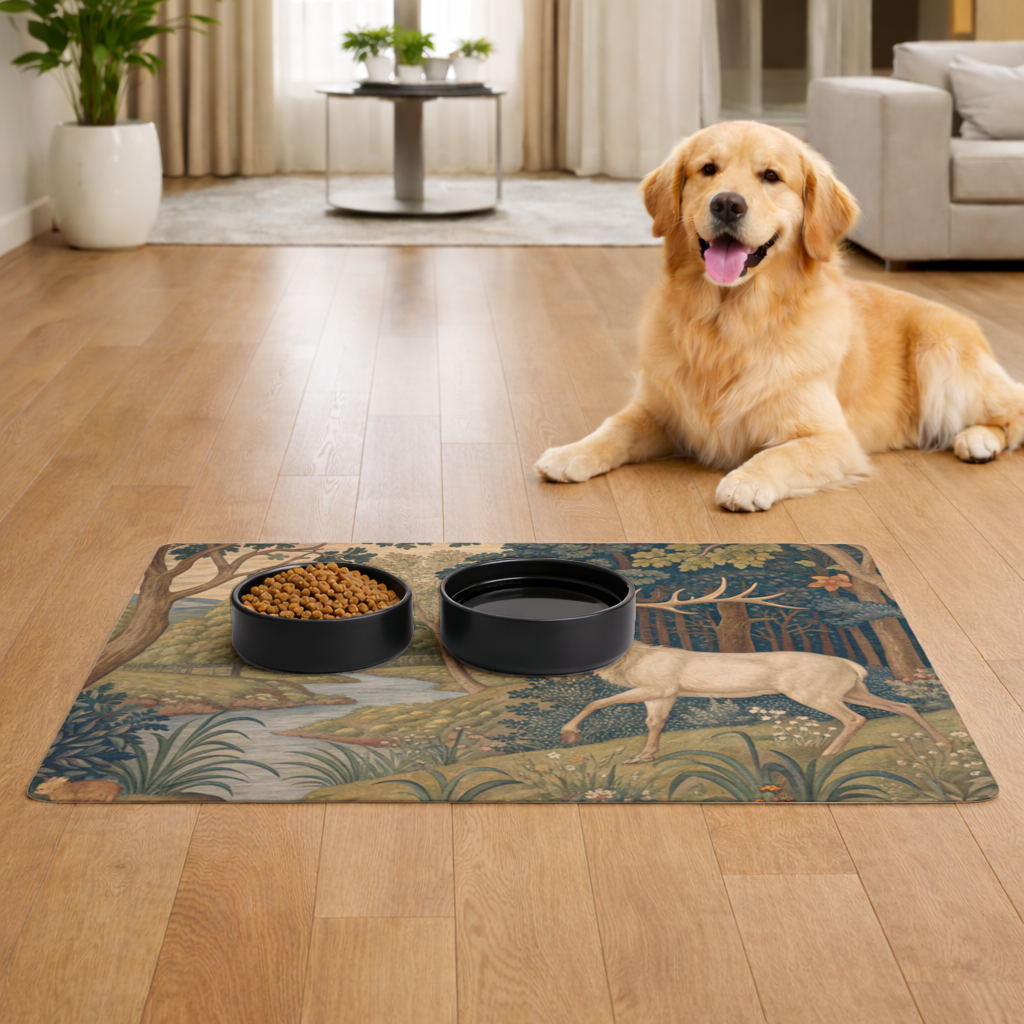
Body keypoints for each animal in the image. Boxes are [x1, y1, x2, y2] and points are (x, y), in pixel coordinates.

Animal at [559, 579, 951, 763]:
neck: (633, 663)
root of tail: (852, 664)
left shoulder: (659, 686)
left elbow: (597, 703)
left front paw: (569, 735)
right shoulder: (666, 694)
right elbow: (654, 724)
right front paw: (643, 756)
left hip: (813, 692)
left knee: (856, 718)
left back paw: (827, 754)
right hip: (853, 688)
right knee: (901, 705)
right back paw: (941, 740)